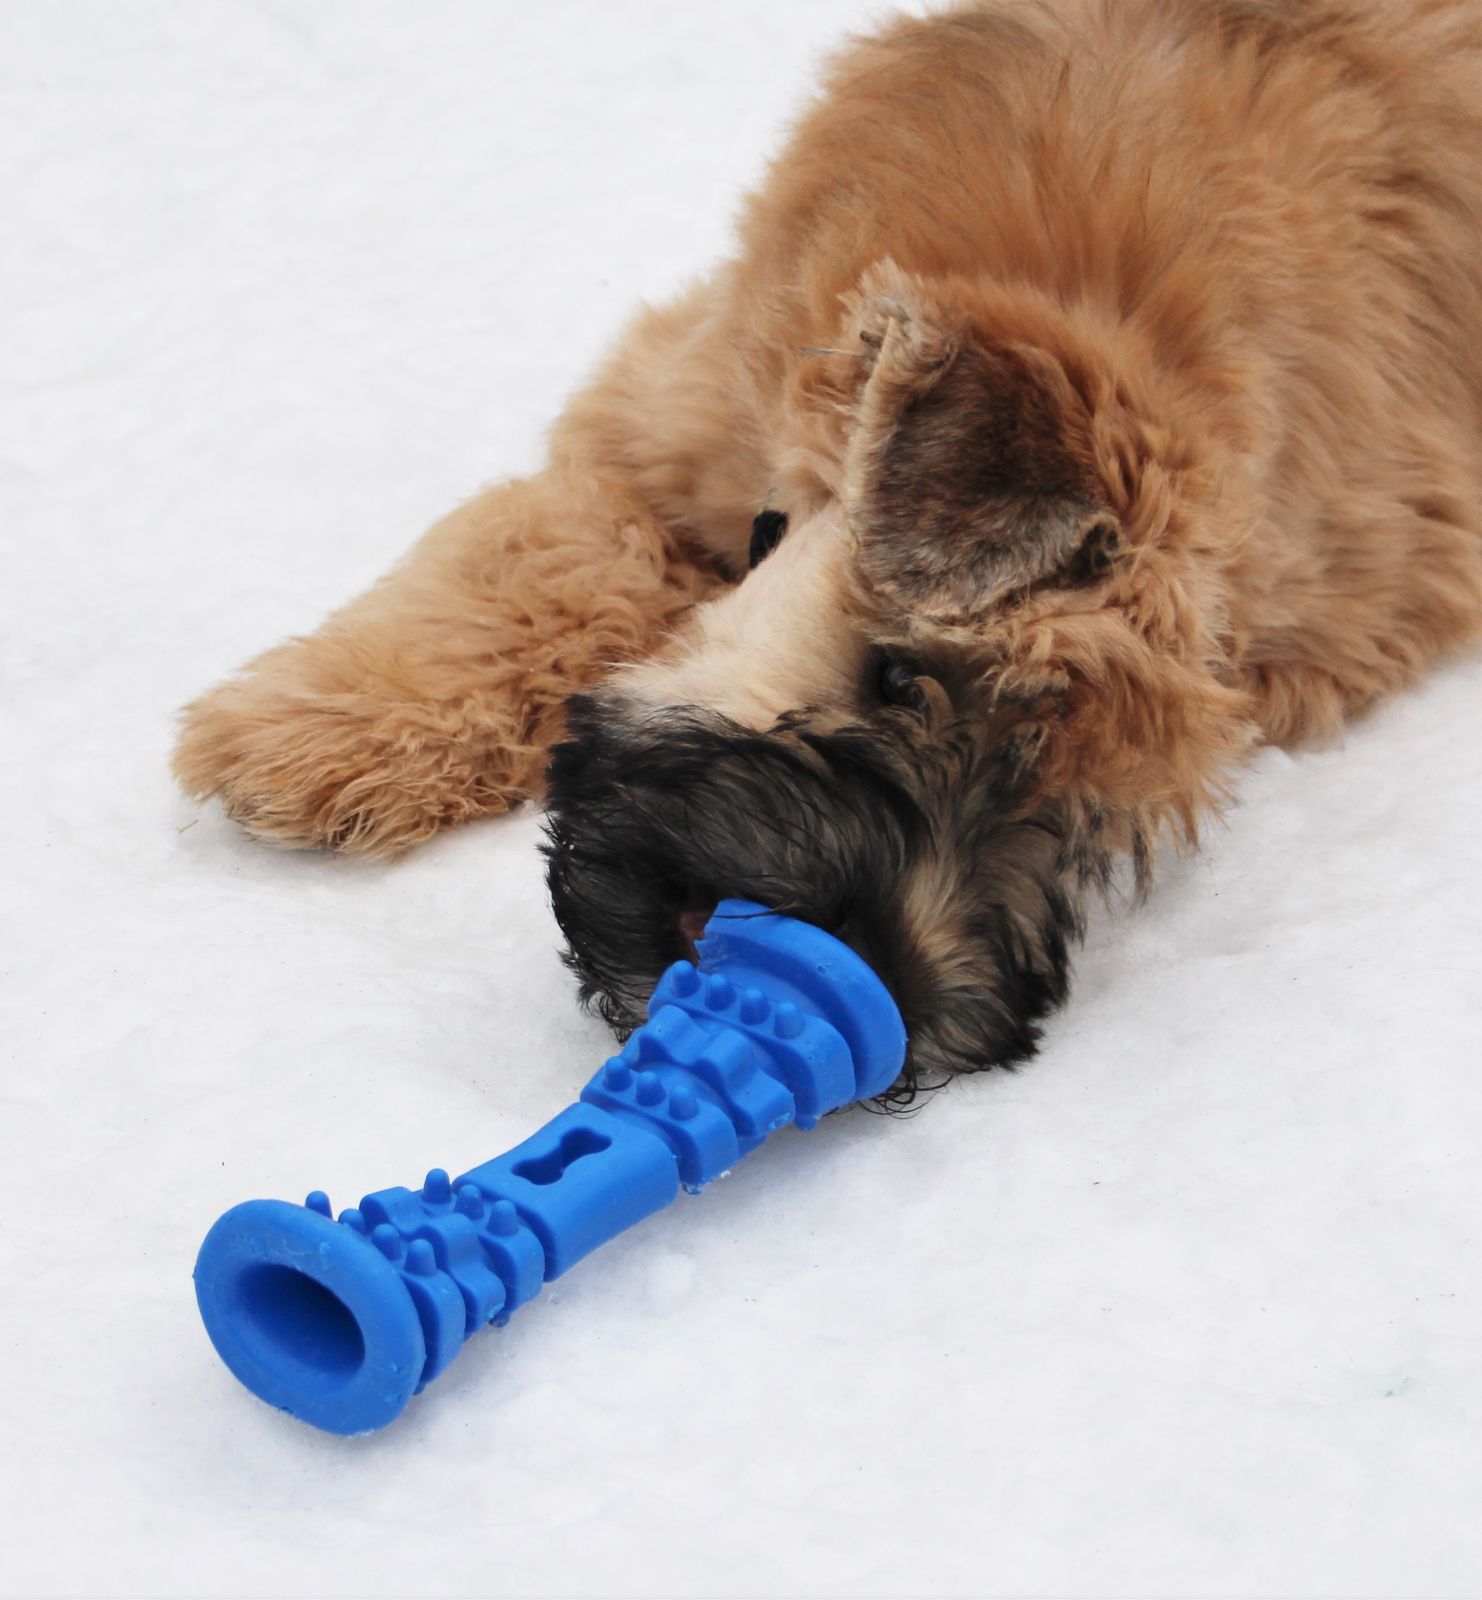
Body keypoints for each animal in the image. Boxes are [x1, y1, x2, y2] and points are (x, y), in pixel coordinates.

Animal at [173, 0, 1482, 1100]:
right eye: (903, 680)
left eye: (1083, 821)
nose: (900, 990)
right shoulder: (666, 424)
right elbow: (537, 563)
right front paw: (314, 733)